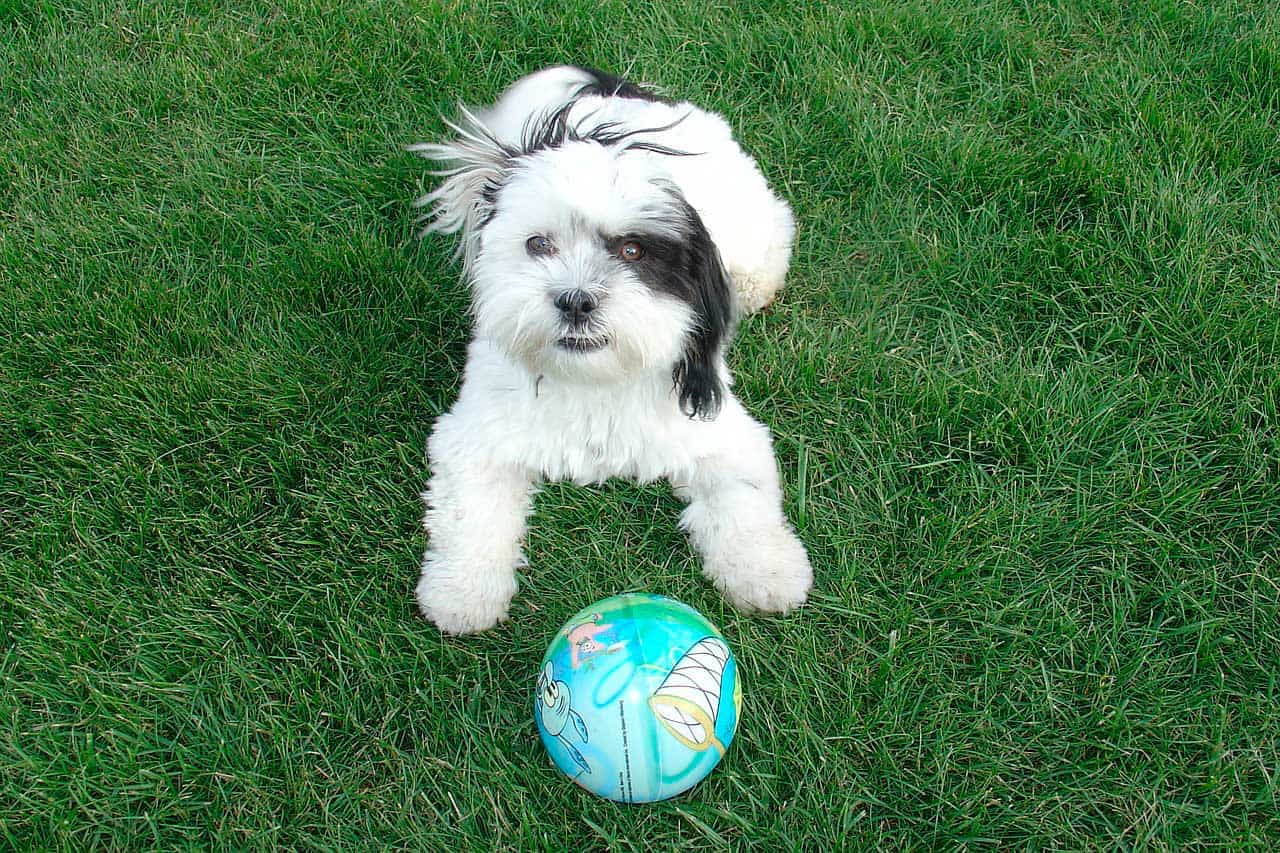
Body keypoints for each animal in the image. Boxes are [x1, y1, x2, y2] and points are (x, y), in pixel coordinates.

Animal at [409, 64, 808, 630]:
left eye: (633, 251)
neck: (595, 380)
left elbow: (743, 497)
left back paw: (752, 287)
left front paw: (768, 571)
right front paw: (461, 592)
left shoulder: (721, 432)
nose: (574, 301)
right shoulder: (474, 434)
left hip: (749, 217)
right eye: (538, 245)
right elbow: (469, 510)